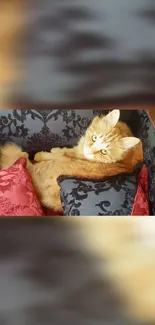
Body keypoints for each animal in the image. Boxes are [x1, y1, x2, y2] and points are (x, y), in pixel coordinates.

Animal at [0, 109, 143, 210]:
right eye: (94, 138)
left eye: (104, 151)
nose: (89, 150)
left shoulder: (70, 155)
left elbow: (59, 153)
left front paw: (44, 153)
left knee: (24, 158)